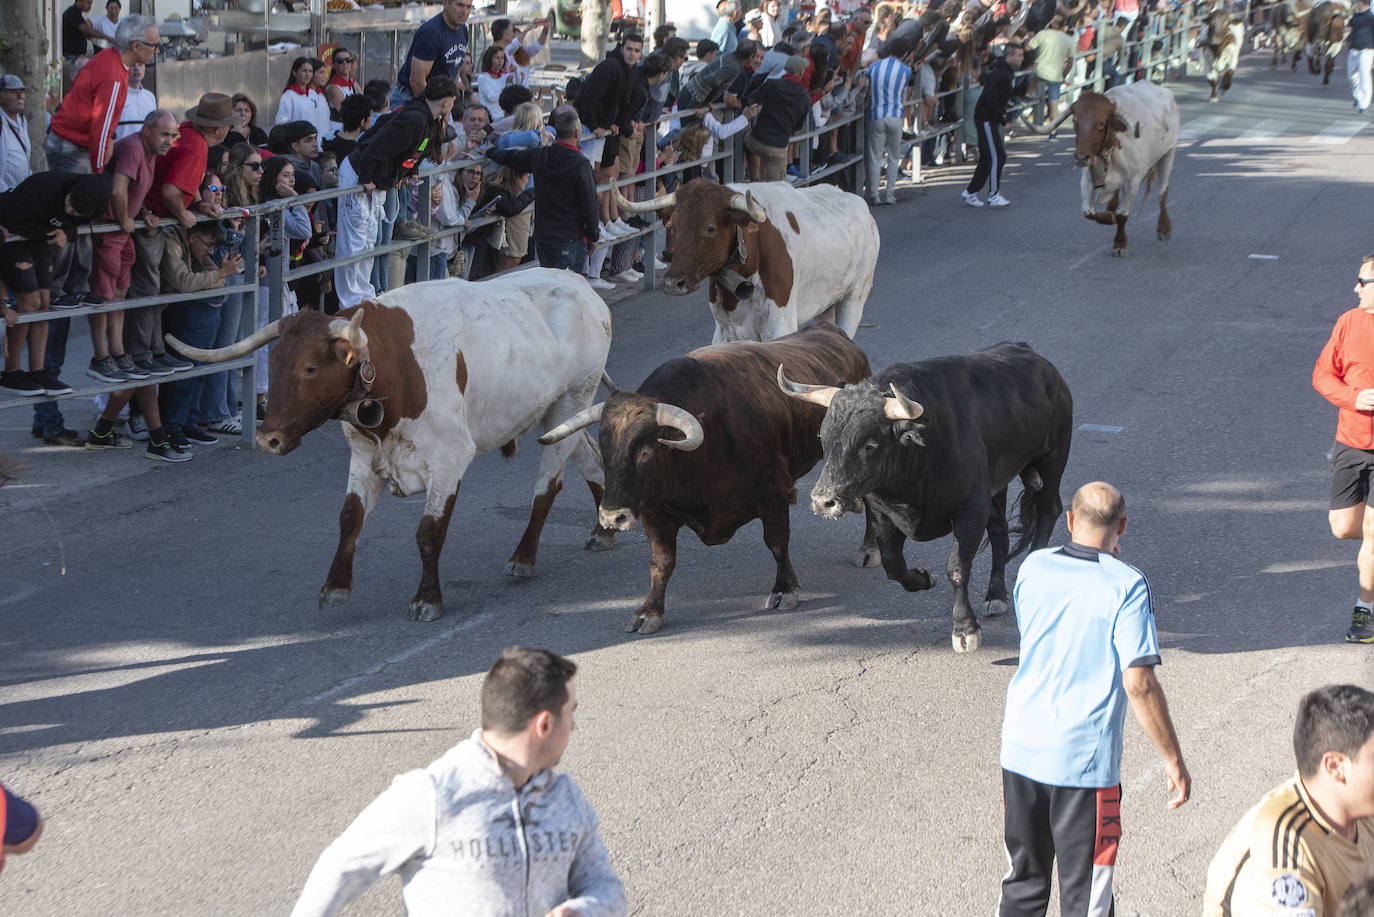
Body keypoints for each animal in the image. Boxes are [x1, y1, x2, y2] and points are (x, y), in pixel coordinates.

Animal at [171, 269, 618, 621]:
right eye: (275, 365)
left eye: (310, 368)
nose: (268, 438)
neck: (394, 369)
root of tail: (580, 285)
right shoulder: (364, 457)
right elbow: (349, 519)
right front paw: (335, 587)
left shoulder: (451, 459)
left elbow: (429, 531)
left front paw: (427, 599)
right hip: (556, 413)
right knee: (590, 458)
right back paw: (604, 528)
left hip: (571, 399)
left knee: (548, 486)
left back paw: (524, 557)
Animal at [535, 324, 868, 637]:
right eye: (604, 448)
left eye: (644, 451)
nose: (611, 517)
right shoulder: (654, 513)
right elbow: (661, 563)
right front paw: (649, 612)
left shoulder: (772, 496)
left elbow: (776, 542)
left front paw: (784, 589)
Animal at [612, 178, 879, 343]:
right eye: (673, 227)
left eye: (710, 228)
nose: (672, 283)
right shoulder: (724, 332)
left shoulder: (779, 326)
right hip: (826, 305)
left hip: (854, 299)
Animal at [780, 342, 1077, 651]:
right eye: (823, 438)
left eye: (869, 444)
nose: (822, 501)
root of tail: (1038, 361)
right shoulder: (884, 514)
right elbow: (893, 565)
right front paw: (924, 578)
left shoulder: (970, 508)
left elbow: (957, 568)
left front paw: (965, 629)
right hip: (998, 486)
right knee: (999, 531)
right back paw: (995, 595)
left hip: (1052, 460)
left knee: (1048, 511)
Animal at [1038, 80, 1181, 257]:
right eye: (1075, 121)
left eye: (1100, 123)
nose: (1081, 157)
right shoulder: (1087, 179)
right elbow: (1089, 213)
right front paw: (1108, 216)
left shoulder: (1133, 182)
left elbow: (1122, 215)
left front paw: (1120, 244)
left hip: (1168, 154)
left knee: (1162, 191)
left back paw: (1164, 228)